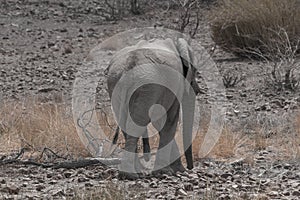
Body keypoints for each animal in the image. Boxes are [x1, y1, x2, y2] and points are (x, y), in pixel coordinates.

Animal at [106, 37, 200, 180]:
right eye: (194, 71)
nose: (189, 168)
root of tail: (128, 68)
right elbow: (169, 121)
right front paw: (166, 171)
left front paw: (176, 169)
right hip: (147, 85)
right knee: (136, 124)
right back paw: (130, 174)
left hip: (116, 86)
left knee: (126, 124)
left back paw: (134, 172)